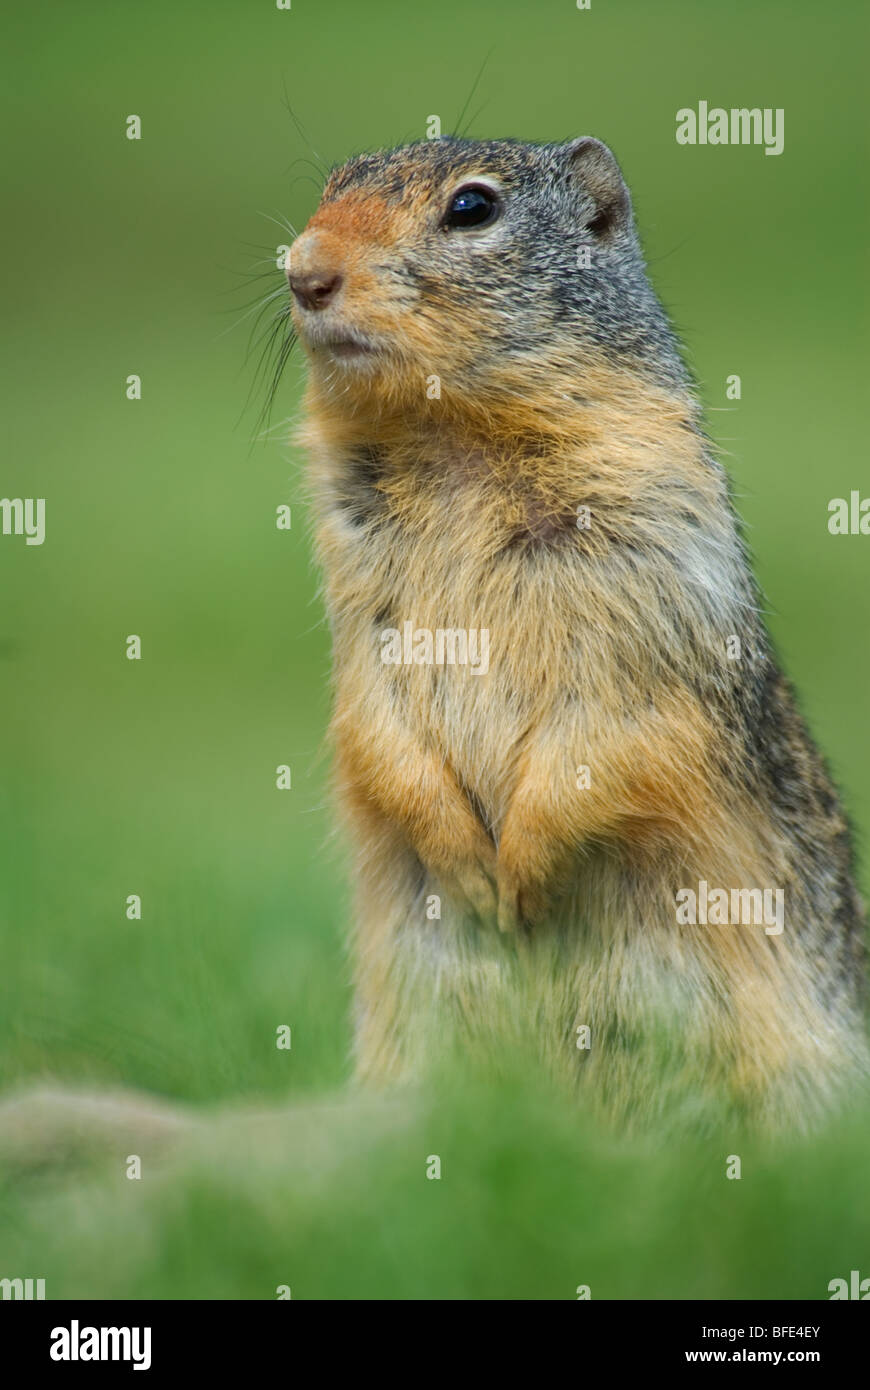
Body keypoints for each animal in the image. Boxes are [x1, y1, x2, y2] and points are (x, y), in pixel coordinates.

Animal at [287, 130, 861, 1128]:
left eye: (472, 208)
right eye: (331, 186)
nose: (302, 271)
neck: (449, 435)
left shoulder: (646, 576)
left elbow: (611, 733)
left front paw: (519, 879)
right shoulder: (360, 603)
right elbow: (374, 724)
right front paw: (470, 868)